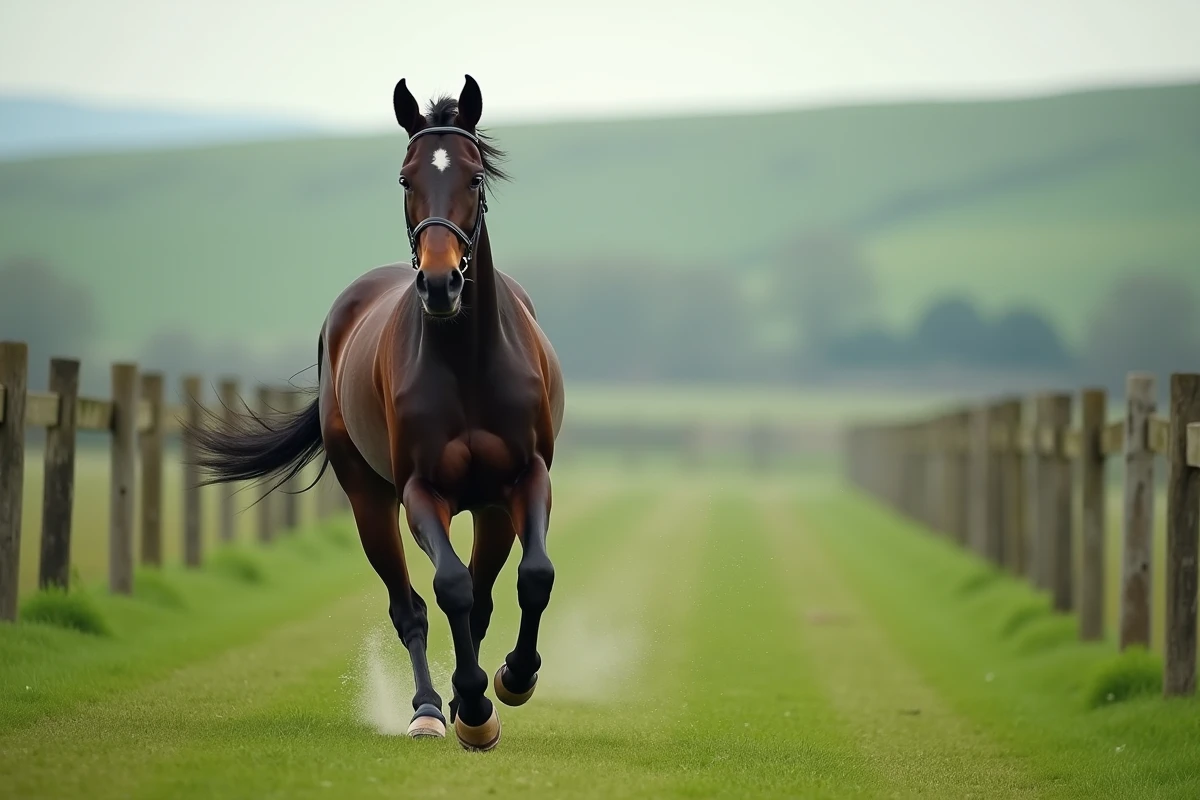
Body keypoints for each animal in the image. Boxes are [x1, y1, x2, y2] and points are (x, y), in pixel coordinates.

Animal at [190, 75, 564, 752]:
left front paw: (513, 678)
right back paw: (431, 709)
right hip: (368, 500)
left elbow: (534, 576)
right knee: (411, 604)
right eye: (405, 178)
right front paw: (473, 706)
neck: (466, 362)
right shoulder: (419, 490)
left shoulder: (525, 478)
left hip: (491, 508)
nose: (440, 284)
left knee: (486, 592)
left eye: (474, 176)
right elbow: (447, 588)